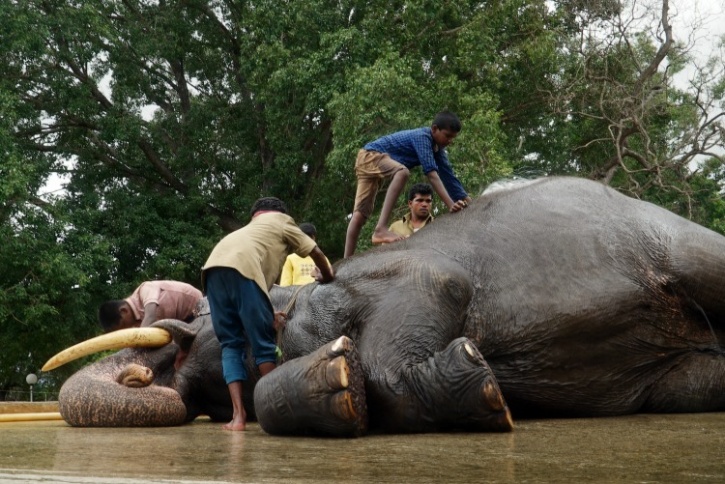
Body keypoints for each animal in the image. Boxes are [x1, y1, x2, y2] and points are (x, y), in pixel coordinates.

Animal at [42, 177, 724, 434]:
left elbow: (439, 285)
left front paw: (484, 383)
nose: (140, 371)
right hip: (673, 374)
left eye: (196, 320)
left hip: (668, 239)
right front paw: (336, 378)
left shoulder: (405, 273)